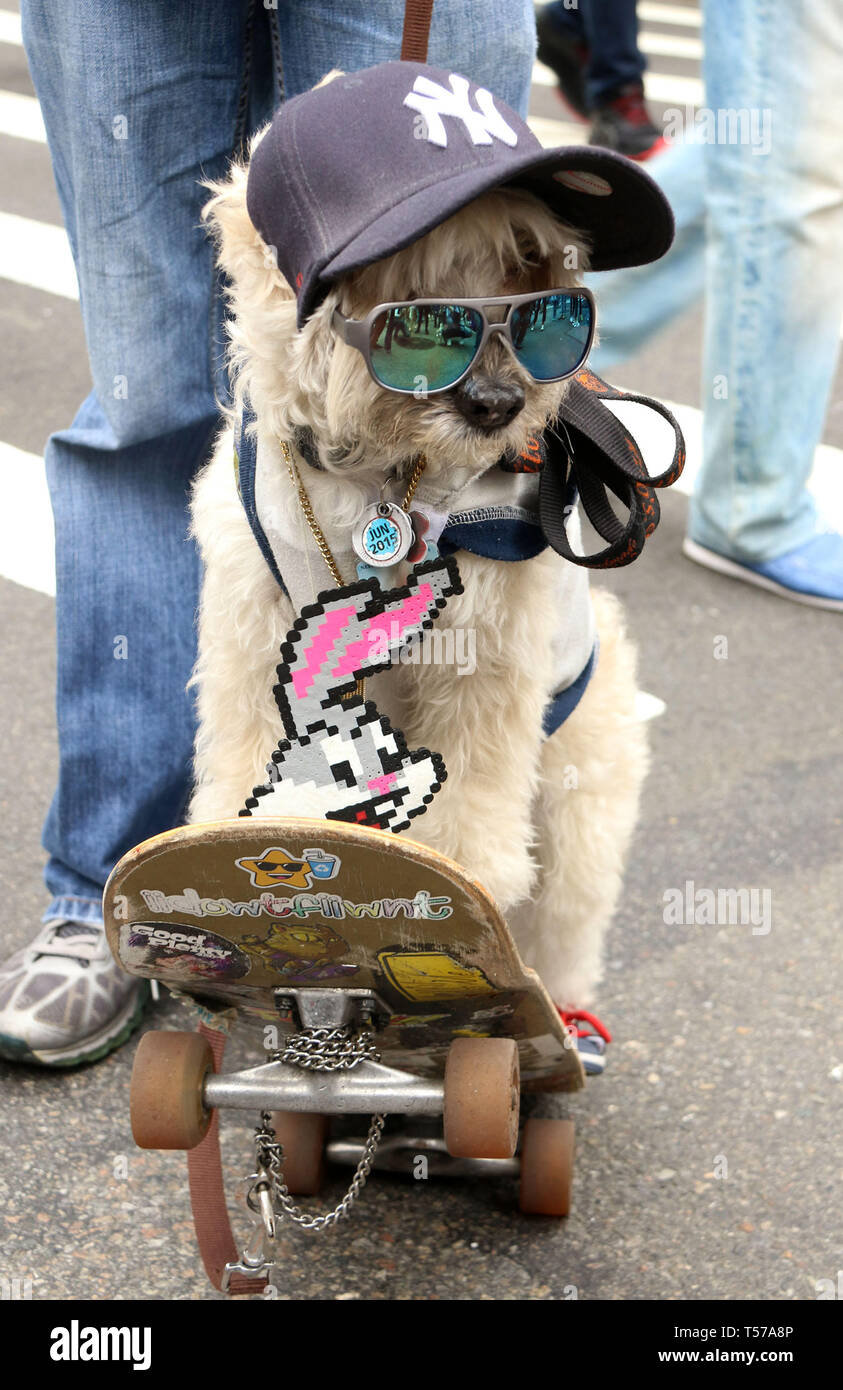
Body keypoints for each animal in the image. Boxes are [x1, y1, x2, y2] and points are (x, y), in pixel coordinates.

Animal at [190, 119, 648, 1011]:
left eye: (527, 264)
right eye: (410, 304)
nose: (499, 407)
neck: (381, 482)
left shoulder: (486, 657)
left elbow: (471, 811)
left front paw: (455, 889)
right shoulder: (255, 629)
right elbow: (249, 754)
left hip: (578, 803)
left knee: (565, 927)